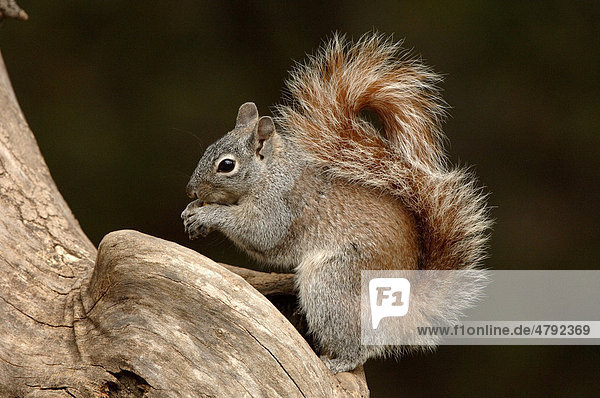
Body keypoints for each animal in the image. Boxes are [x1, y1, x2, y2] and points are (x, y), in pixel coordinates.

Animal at [180, 34, 490, 374]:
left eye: (226, 165)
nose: (189, 190)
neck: (272, 171)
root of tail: (405, 308)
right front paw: (191, 211)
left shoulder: (281, 206)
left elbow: (260, 233)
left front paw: (208, 214)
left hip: (334, 281)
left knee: (358, 344)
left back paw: (337, 361)